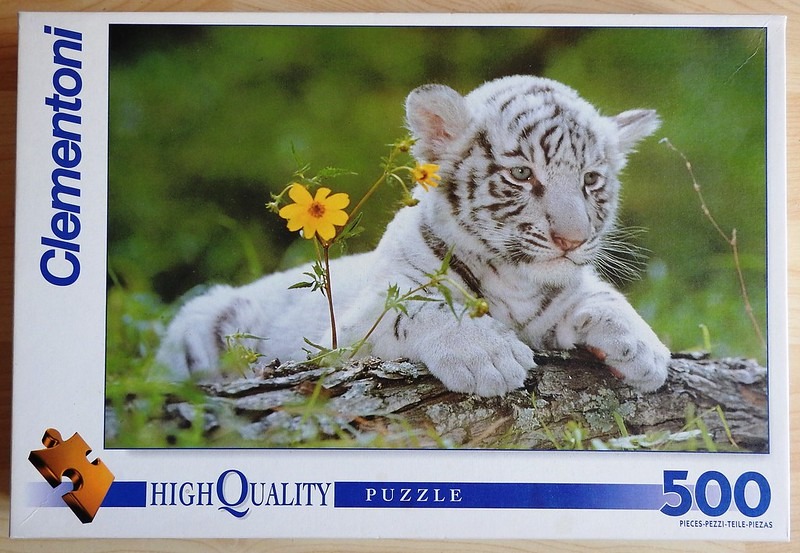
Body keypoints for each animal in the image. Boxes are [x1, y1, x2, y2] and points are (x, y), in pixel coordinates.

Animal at [155, 75, 670, 397]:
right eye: (522, 173)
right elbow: (420, 310)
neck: (516, 280)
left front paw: (645, 350)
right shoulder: (350, 333)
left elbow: (600, 295)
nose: (572, 239)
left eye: (591, 180)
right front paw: (488, 355)